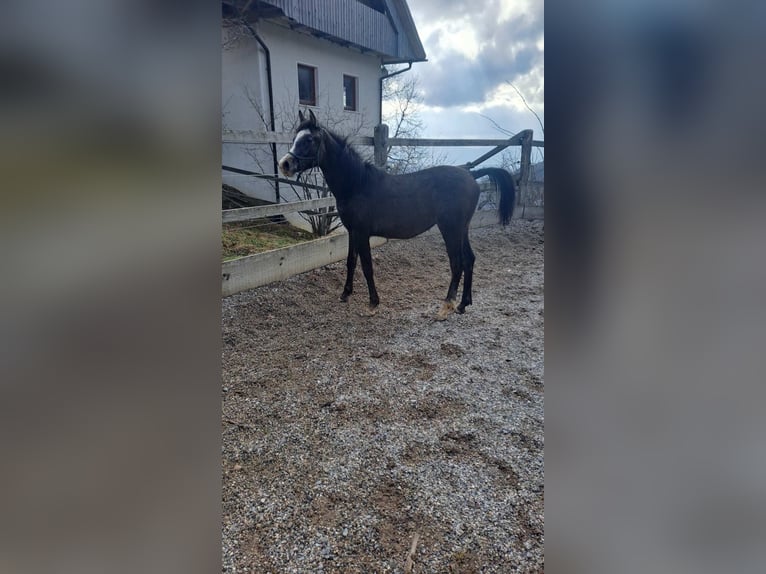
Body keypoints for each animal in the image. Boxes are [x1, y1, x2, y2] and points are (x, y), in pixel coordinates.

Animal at [278, 109, 516, 320]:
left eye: (309, 139)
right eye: (295, 137)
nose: (285, 164)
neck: (357, 184)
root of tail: (471, 174)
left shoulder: (362, 233)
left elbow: (367, 267)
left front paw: (373, 304)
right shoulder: (352, 231)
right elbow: (351, 262)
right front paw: (345, 294)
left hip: (451, 228)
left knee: (457, 263)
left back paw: (445, 307)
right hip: (462, 228)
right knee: (469, 259)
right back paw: (463, 305)